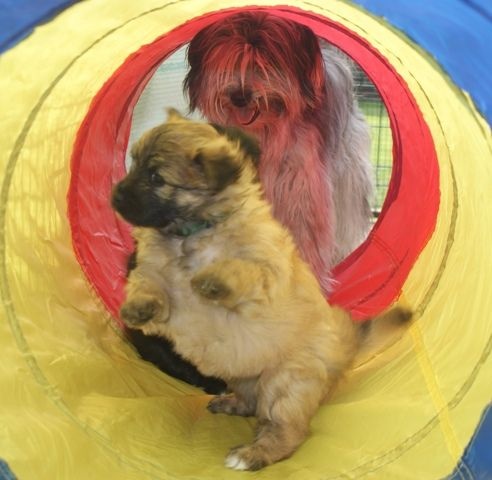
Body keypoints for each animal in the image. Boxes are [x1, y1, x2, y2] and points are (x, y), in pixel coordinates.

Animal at [112, 110, 409, 470]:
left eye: (156, 177)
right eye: (134, 164)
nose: (115, 195)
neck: (189, 232)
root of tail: (340, 345)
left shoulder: (264, 275)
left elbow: (242, 270)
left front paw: (213, 280)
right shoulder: (154, 273)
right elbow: (147, 284)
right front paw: (137, 308)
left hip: (283, 384)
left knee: (288, 431)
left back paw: (254, 453)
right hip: (245, 376)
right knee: (251, 403)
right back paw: (230, 403)